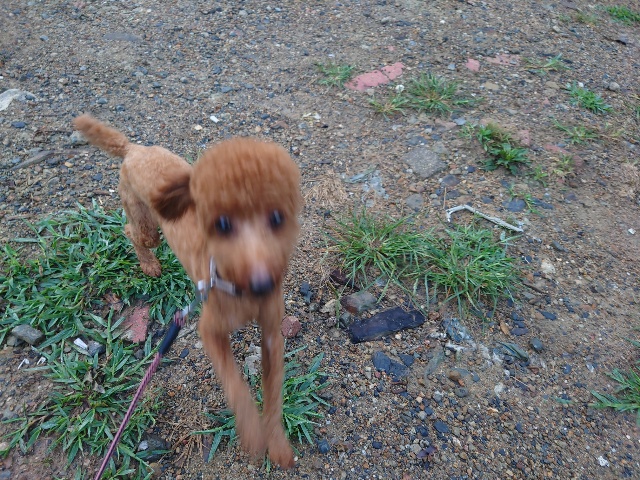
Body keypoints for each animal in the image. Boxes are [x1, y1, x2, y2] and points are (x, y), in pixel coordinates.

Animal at [73, 114, 302, 468]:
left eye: (278, 217)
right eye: (221, 225)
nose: (263, 285)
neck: (234, 285)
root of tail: (133, 148)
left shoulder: (272, 335)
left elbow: (275, 392)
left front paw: (276, 443)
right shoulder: (210, 331)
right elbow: (235, 384)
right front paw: (252, 434)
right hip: (145, 224)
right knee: (131, 232)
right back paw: (149, 264)